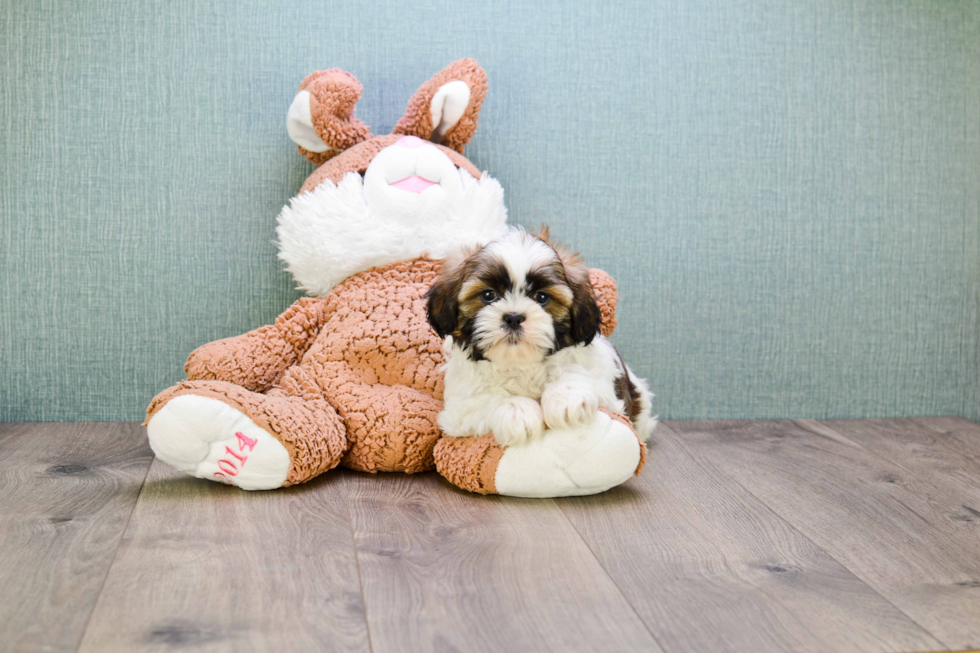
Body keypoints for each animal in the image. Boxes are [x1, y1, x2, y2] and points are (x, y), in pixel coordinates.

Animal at [424, 227, 656, 446]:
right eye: (488, 295)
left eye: (542, 297)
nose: (513, 317)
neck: (521, 363)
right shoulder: (458, 409)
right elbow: (486, 399)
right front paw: (517, 411)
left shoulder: (605, 385)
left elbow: (578, 371)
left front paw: (566, 396)